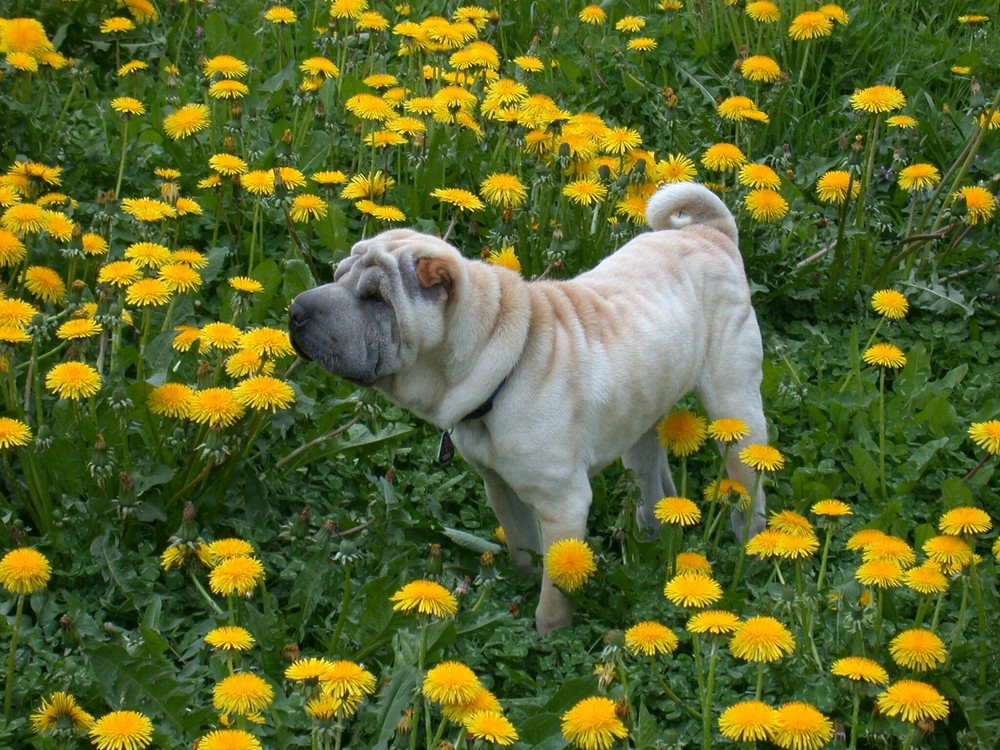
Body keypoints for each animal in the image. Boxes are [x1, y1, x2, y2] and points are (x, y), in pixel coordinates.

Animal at [286, 182, 768, 636]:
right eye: (337, 275)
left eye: (376, 298)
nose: (296, 310)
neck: (501, 358)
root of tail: (711, 233)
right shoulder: (499, 485)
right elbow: (523, 550)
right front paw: (523, 588)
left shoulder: (563, 503)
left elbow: (557, 583)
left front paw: (549, 635)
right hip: (641, 422)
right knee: (655, 484)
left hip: (735, 406)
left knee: (749, 488)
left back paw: (750, 552)